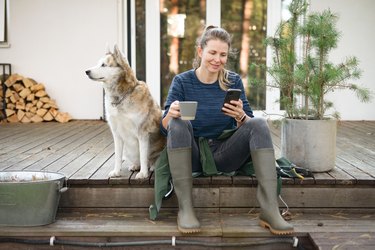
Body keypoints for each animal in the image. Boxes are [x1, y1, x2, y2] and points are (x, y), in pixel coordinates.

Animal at [87, 44, 167, 178]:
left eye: (103, 65)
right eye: (98, 63)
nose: (86, 71)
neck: (121, 97)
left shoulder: (143, 132)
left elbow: (143, 155)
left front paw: (143, 174)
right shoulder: (116, 133)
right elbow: (117, 156)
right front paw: (116, 172)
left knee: (152, 160)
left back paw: (152, 166)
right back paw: (135, 165)